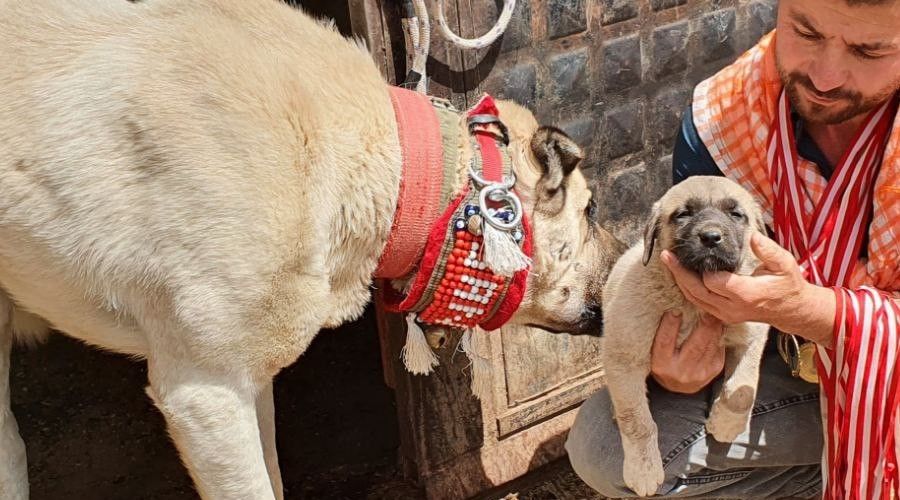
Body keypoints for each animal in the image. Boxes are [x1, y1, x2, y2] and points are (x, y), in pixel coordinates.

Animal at [600, 176, 768, 496]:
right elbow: (636, 420)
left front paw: (725, 424)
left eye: (736, 214)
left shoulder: (751, 331)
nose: (711, 237)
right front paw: (643, 469)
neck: (693, 304)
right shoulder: (624, 356)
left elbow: (742, 389)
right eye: (683, 214)